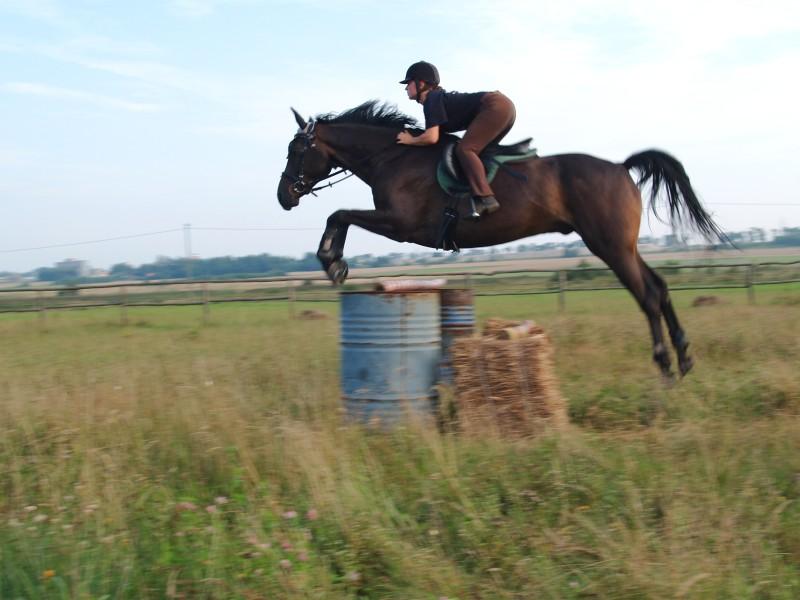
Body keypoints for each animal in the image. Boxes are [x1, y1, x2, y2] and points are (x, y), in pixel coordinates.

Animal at [278, 101, 728, 378]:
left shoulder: (403, 226)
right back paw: (685, 355)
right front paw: (334, 262)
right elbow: (341, 216)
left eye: (296, 150)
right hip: (624, 247)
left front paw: (332, 261)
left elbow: (340, 214)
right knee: (661, 287)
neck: (393, 156)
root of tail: (620, 167)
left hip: (611, 247)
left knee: (647, 295)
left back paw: (665, 364)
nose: (284, 196)